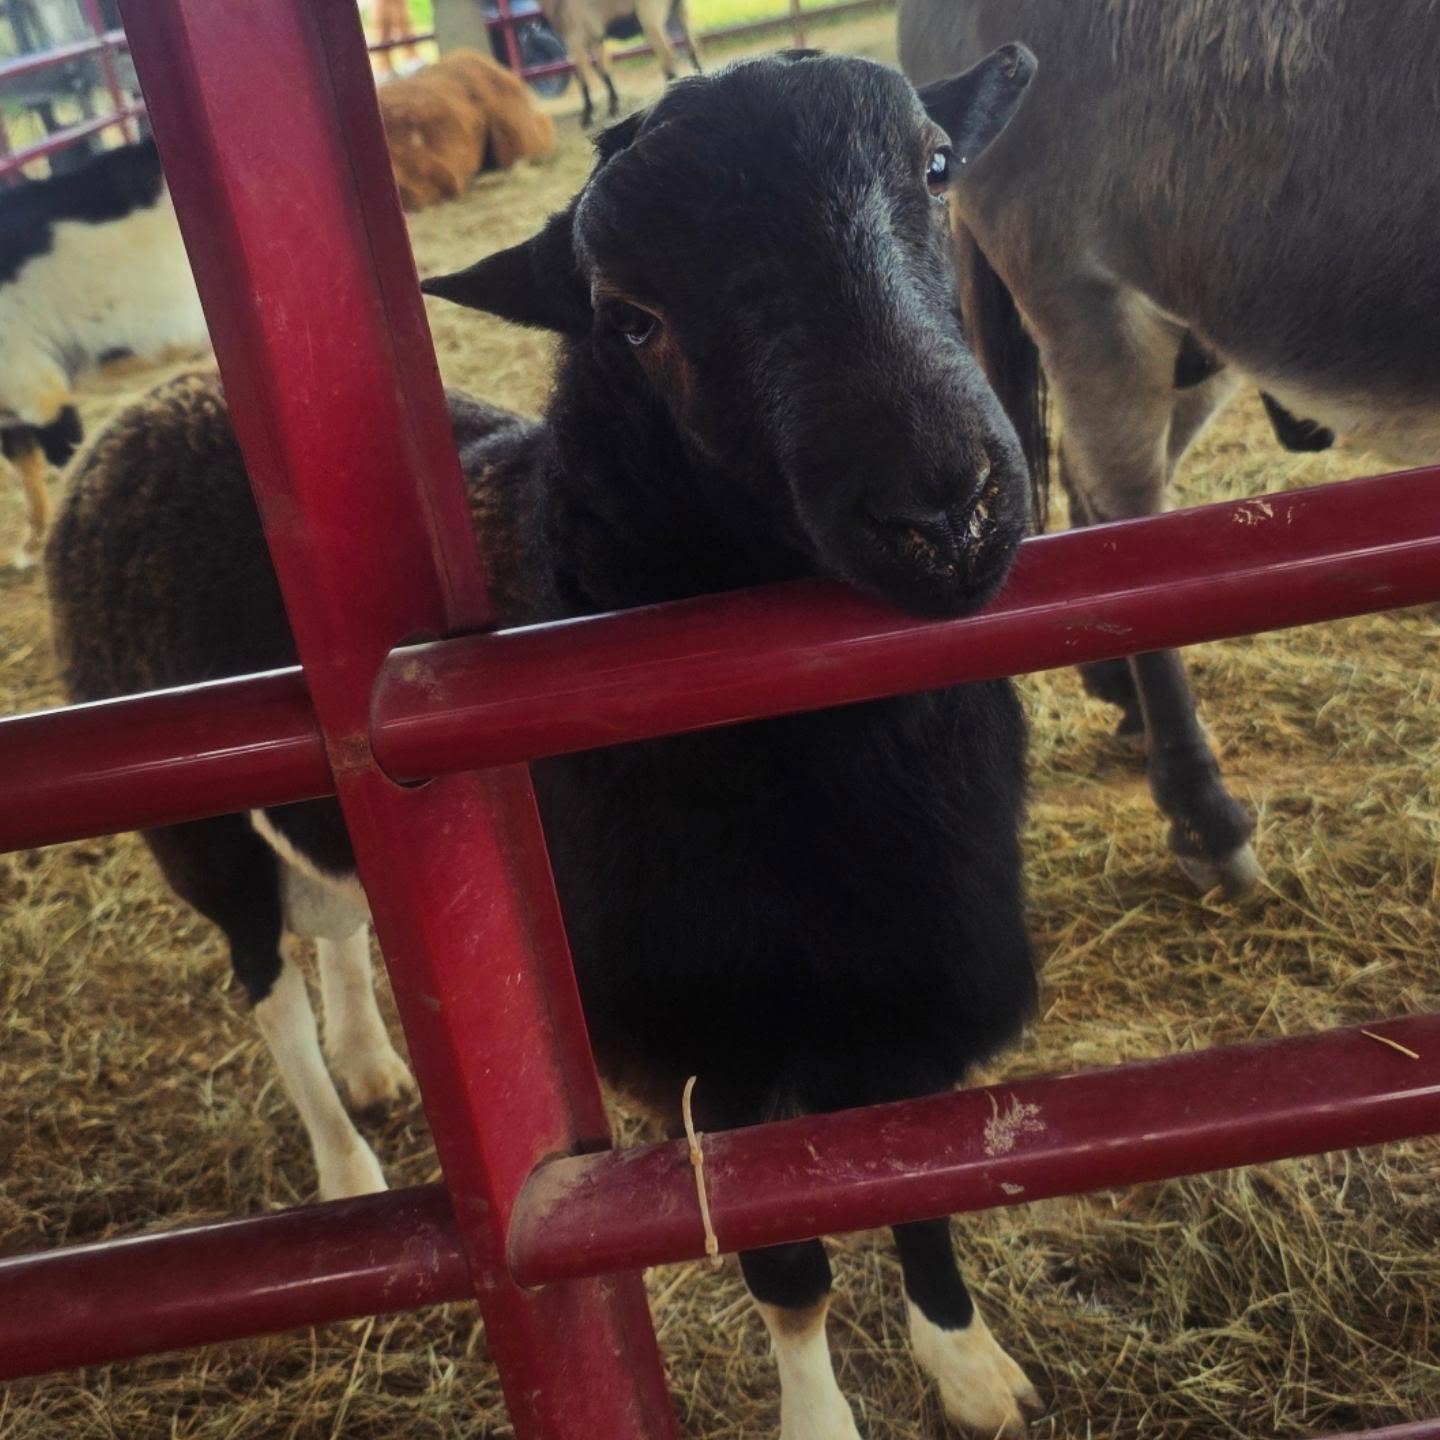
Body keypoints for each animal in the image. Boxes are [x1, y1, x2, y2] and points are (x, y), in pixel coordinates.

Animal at [539, 0, 702, 127]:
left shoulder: (574, 40)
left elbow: (583, 78)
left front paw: (587, 116)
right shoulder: (595, 39)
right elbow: (603, 70)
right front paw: (613, 105)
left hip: (650, 17)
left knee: (668, 55)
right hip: (680, 12)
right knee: (691, 47)